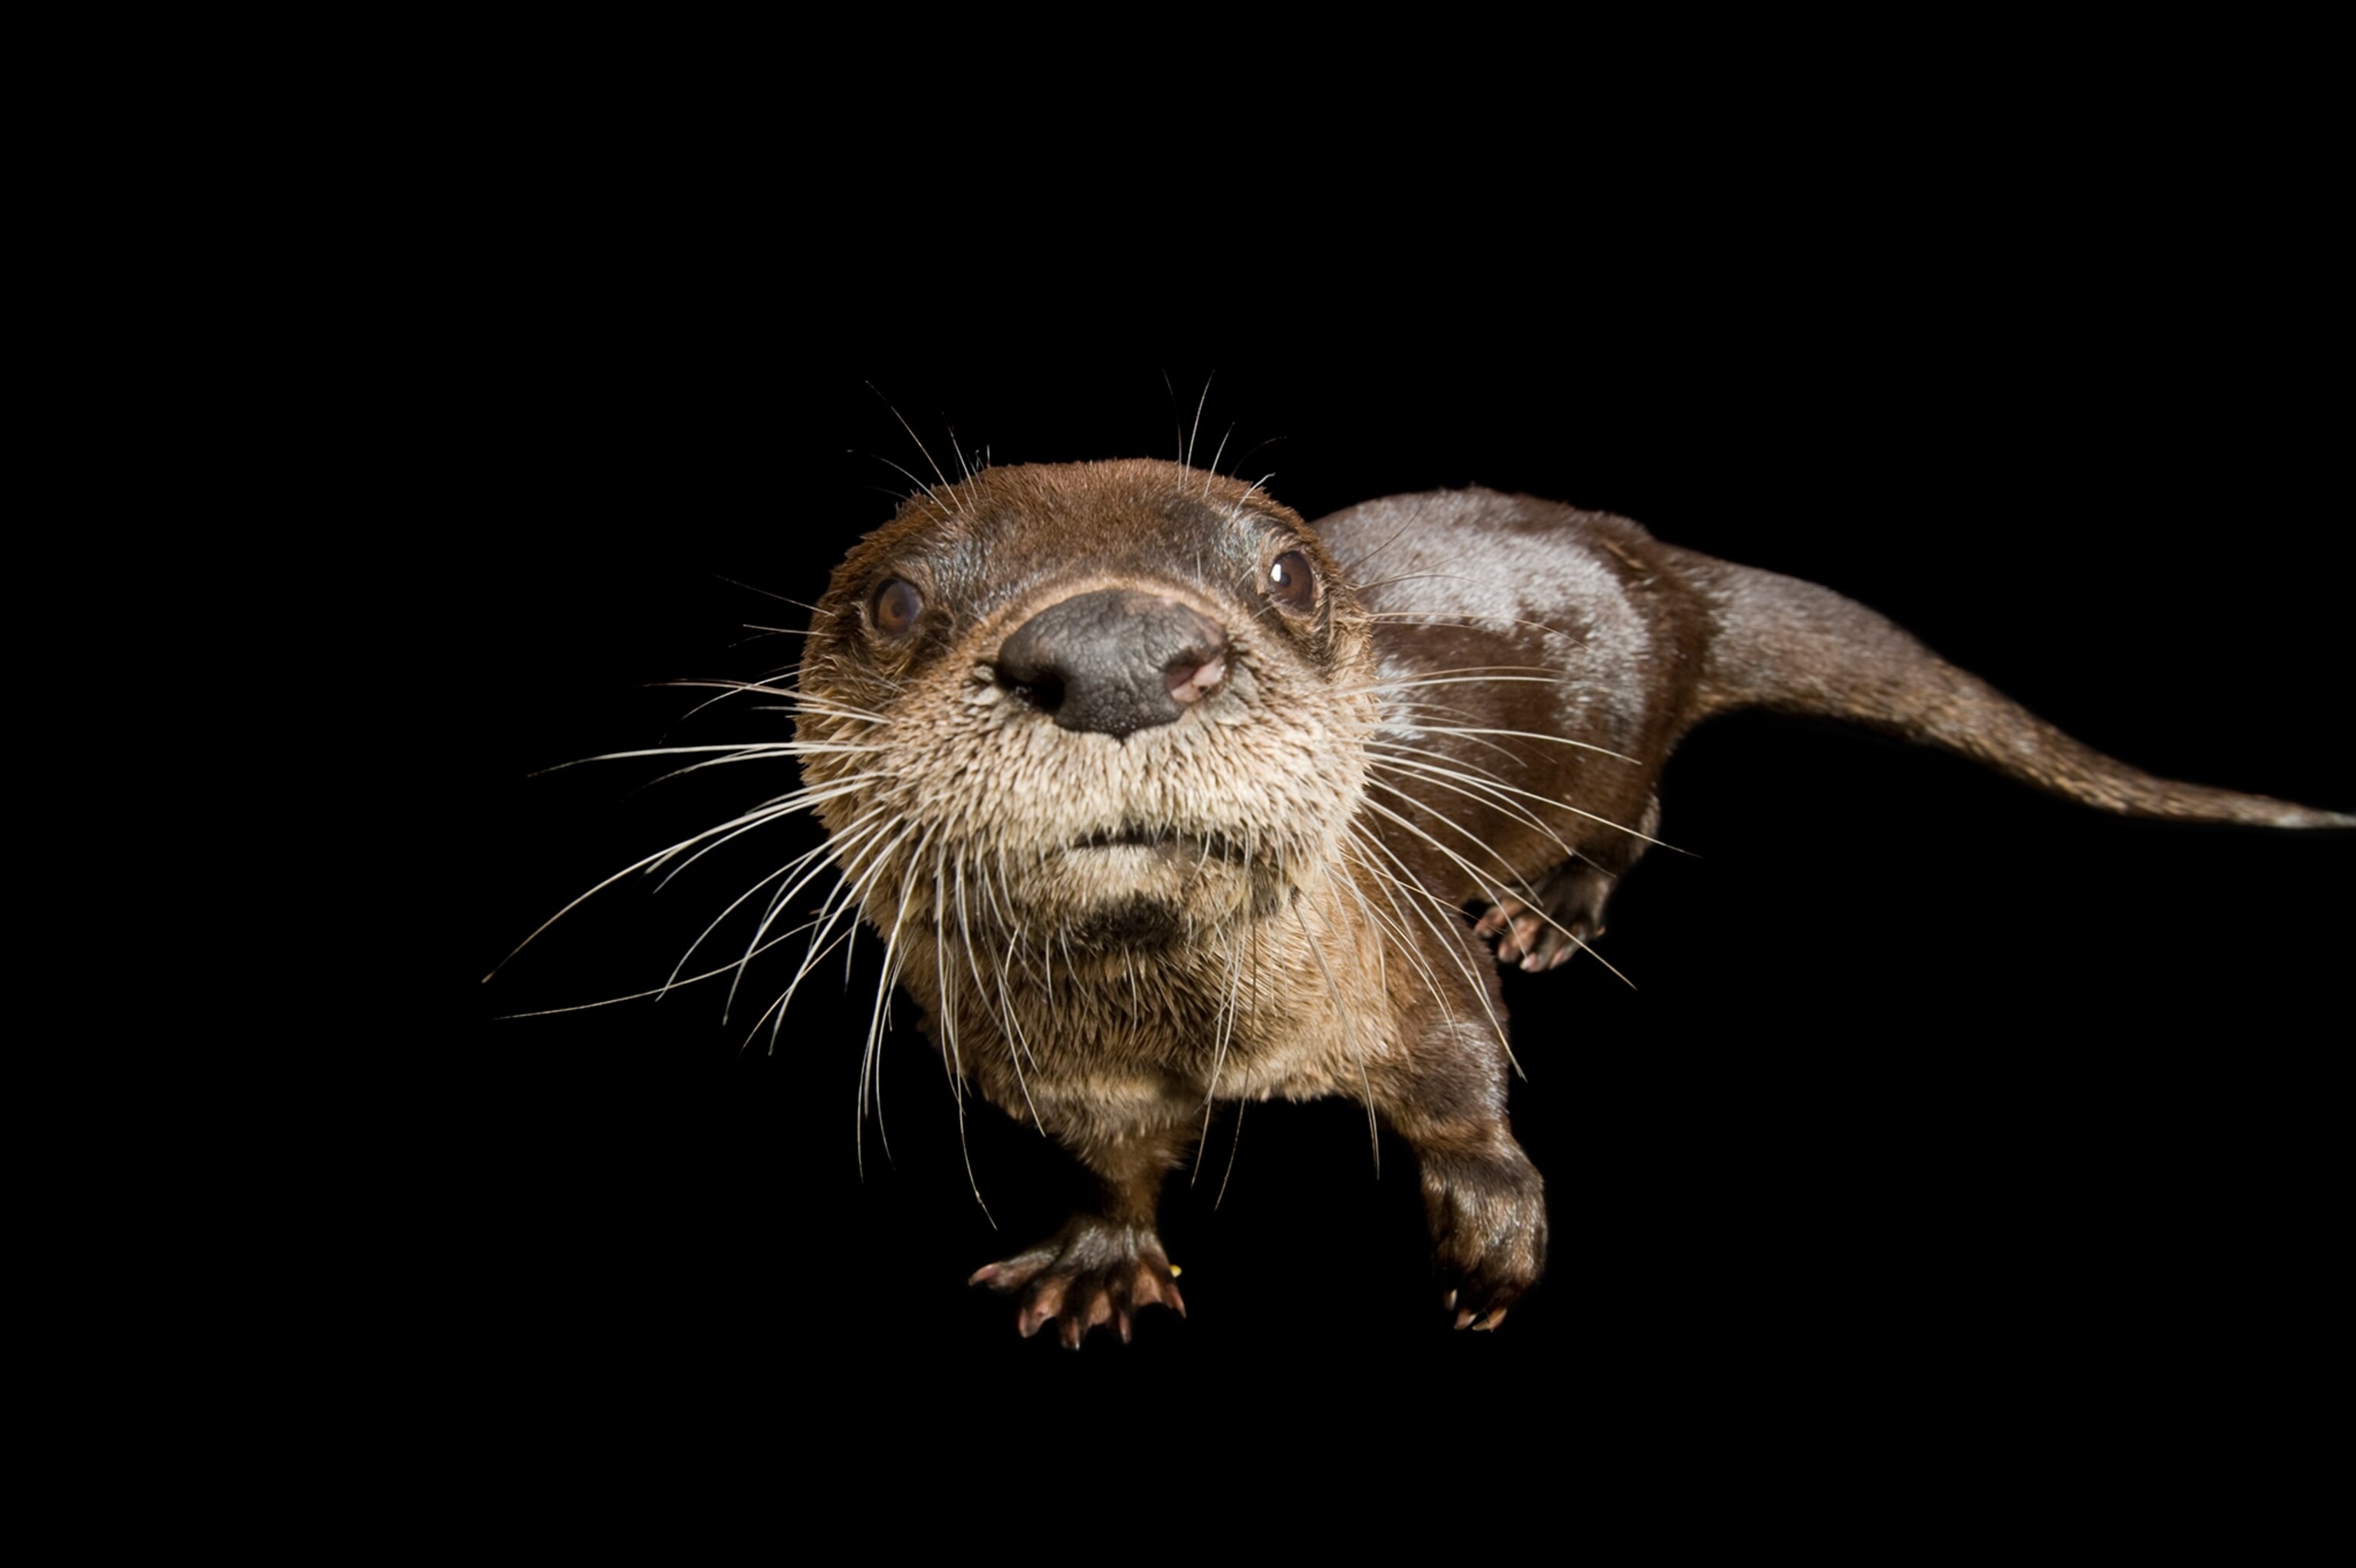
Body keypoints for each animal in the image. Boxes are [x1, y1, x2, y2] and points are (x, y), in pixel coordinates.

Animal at [757, 458, 2348, 1347]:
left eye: (1284, 570)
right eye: (894, 604)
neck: (1212, 1035)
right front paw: (1099, 1257)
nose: (1115, 651)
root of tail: (1669, 571)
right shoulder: (1057, 1072)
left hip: (1608, 750)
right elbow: (1110, 1161)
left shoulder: (1402, 964)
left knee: (1629, 816)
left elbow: (1468, 1078)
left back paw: (1545, 912)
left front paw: (1488, 1231)